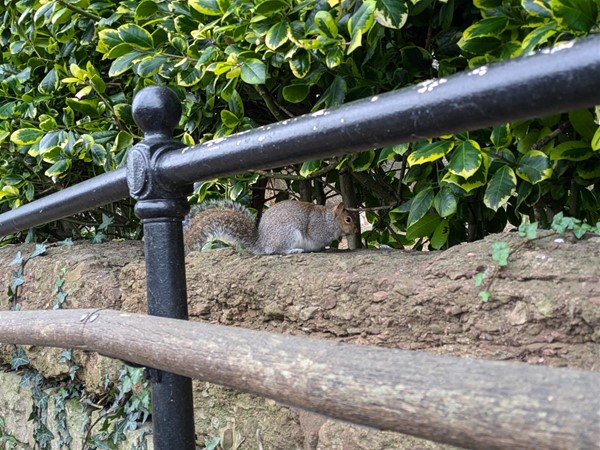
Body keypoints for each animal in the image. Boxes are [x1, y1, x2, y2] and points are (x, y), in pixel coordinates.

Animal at [184, 200, 356, 255]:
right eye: (348, 219)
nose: (355, 230)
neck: (329, 220)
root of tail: (262, 243)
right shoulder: (317, 228)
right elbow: (318, 237)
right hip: (288, 234)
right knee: (277, 250)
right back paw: (294, 251)